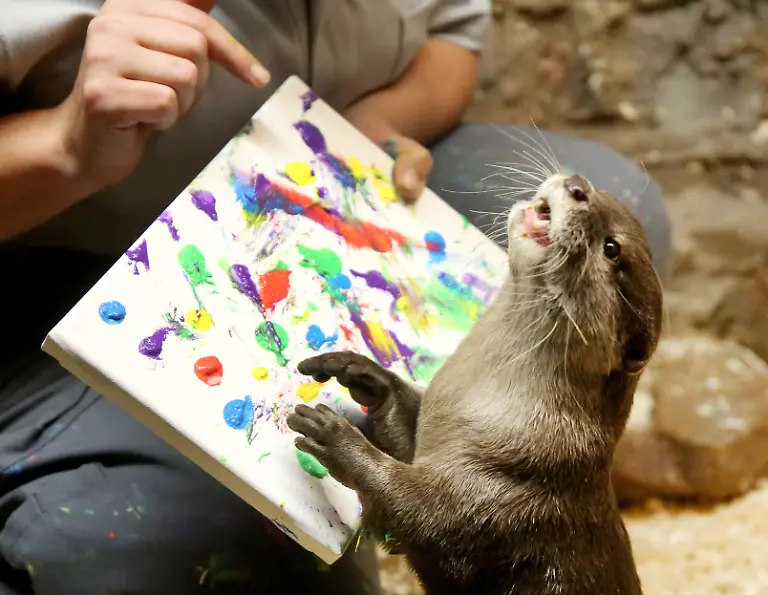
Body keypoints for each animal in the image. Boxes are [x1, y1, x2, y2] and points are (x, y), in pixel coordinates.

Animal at [286, 173, 663, 595]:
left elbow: (419, 514)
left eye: (612, 248)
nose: (577, 185)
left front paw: (336, 437)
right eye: (600, 192)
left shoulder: (503, 489)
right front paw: (363, 372)